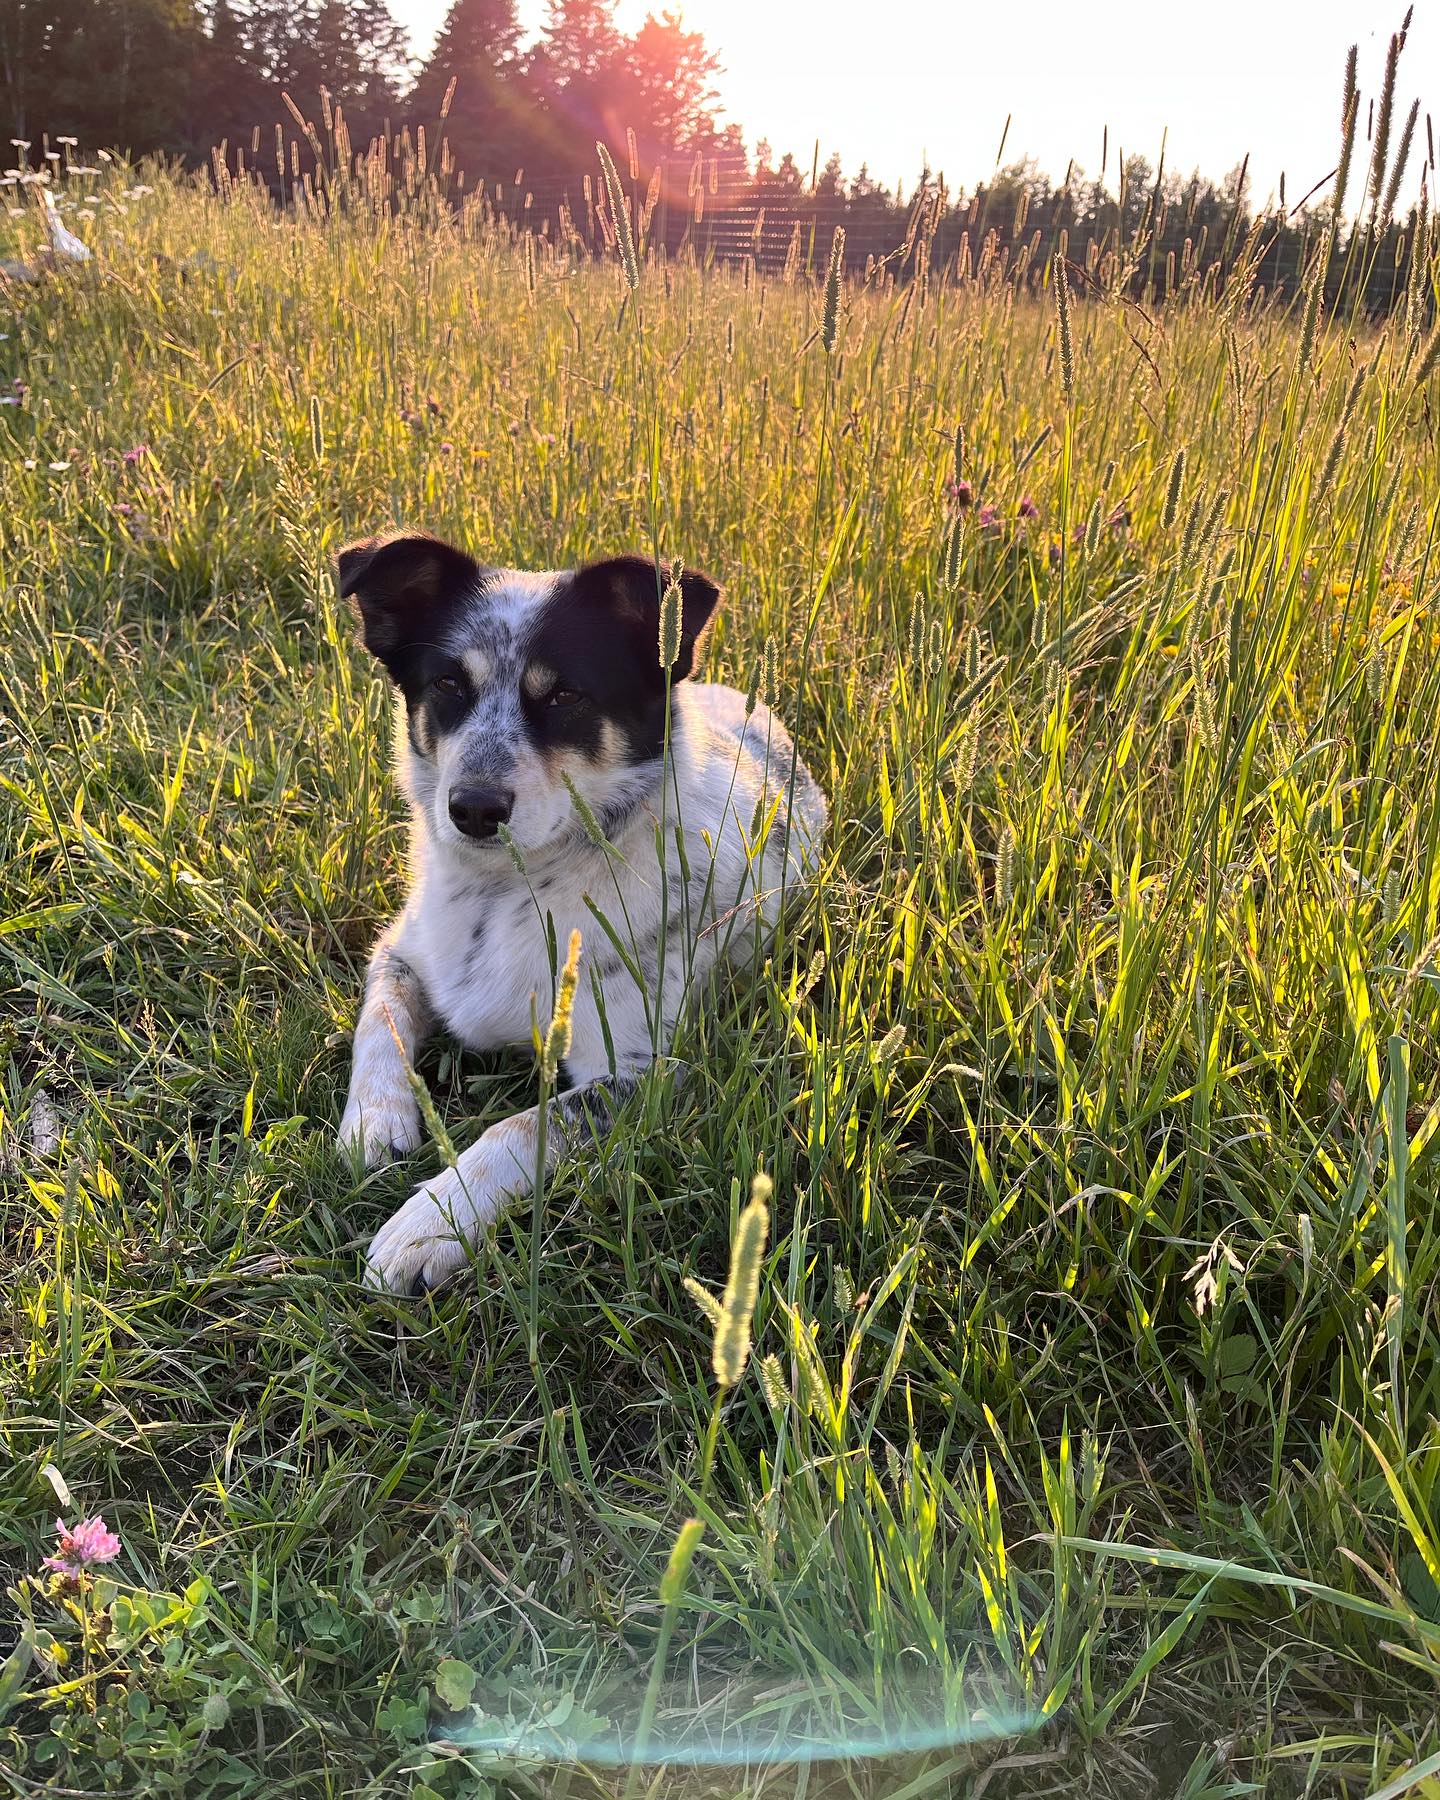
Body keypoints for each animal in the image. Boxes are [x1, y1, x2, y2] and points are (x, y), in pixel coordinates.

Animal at [333, 532, 828, 1296]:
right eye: (448, 686)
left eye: (565, 694)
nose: (474, 809)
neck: (512, 887)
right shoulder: (403, 951)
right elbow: (379, 1024)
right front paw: (375, 1121)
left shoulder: (642, 1073)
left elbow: (521, 1127)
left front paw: (431, 1223)